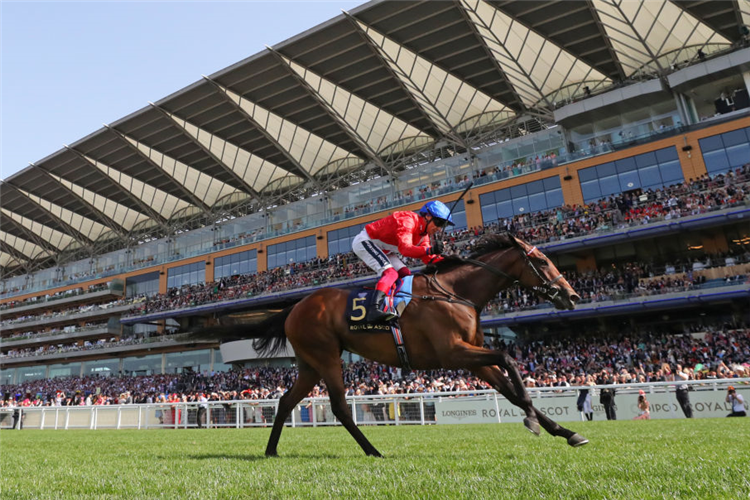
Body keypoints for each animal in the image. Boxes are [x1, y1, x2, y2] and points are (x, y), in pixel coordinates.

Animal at [206, 232, 588, 456]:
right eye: (541, 261)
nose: (571, 296)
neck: (456, 293)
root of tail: (295, 306)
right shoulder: (454, 353)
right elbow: (510, 362)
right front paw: (533, 421)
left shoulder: (472, 359)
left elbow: (511, 390)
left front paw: (566, 431)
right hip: (326, 356)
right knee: (340, 407)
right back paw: (373, 450)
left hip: (309, 363)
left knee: (286, 401)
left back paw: (271, 450)